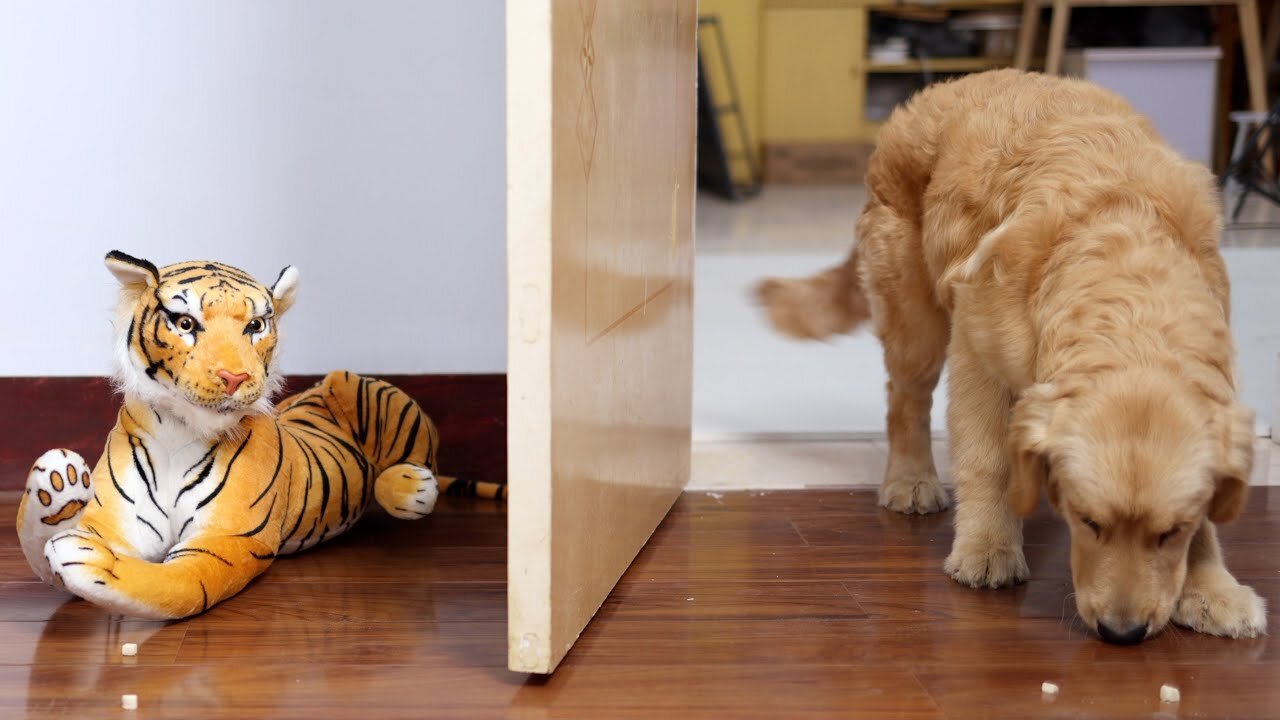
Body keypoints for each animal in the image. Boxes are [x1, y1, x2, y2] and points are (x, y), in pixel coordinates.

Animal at [752, 68, 1264, 638]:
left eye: (1171, 531)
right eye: (1088, 521)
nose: (1122, 633)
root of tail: (941, 87)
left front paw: (1211, 588)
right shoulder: (976, 352)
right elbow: (988, 459)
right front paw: (987, 547)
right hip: (916, 320)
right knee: (904, 400)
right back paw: (910, 479)